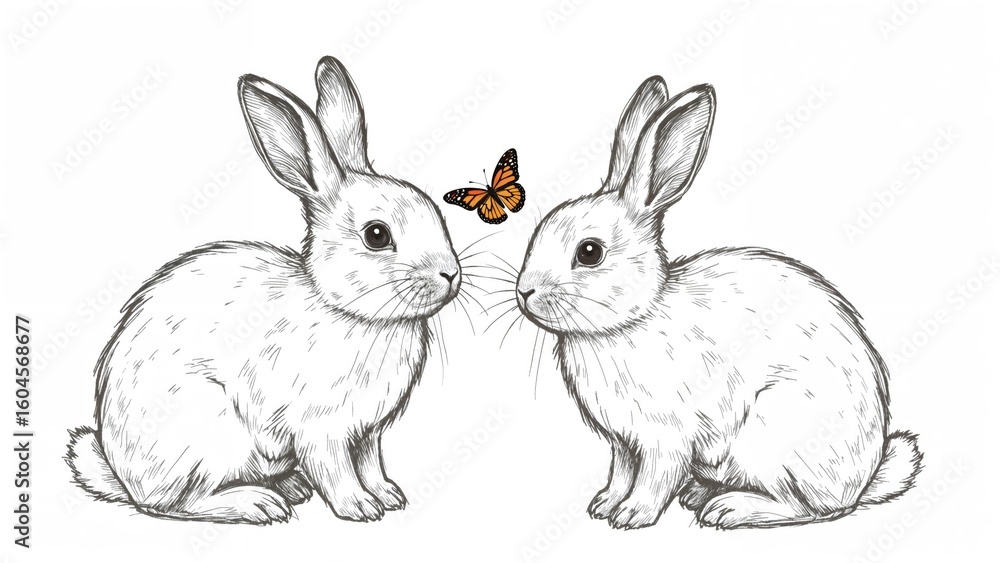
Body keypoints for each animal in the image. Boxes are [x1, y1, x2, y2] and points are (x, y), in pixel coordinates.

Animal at [64, 56, 462, 524]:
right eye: (377, 235)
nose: (450, 274)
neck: (348, 311)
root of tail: (120, 472)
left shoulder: (367, 432)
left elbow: (369, 463)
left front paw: (388, 495)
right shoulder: (320, 430)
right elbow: (336, 471)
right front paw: (360, 508)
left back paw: (289, 488)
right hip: (210, 435)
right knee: (174, 504)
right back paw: (258, 503)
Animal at [514, 76, 922, 530]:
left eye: (589, 252)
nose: (524, 292)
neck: (631, 320)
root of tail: (864, 476)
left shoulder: (665, 438)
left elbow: (655, 477)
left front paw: (632, 516)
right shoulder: (623, 442)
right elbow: (620, 472)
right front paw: (603, 505)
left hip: (770, 436)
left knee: (811, 508)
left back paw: (729, 508)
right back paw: (700, 494)